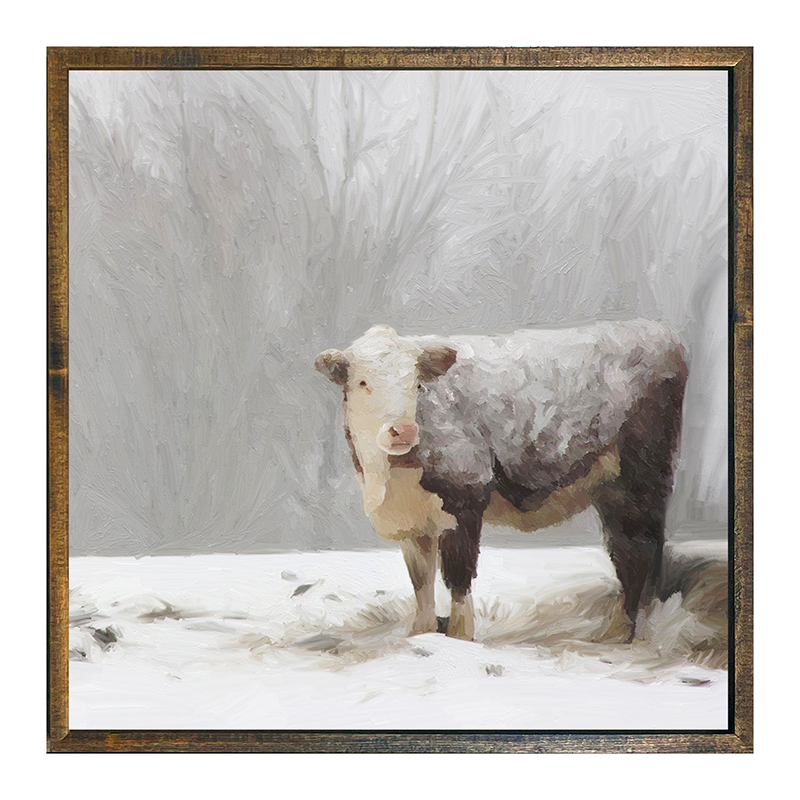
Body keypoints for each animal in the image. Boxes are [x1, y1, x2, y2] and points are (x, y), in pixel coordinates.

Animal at [315, 319, 687, 642]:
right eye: (363, 383)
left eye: (416, 383)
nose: (403, 430)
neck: (390, 480)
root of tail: (654, 329)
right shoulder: (413, 523)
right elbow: (421, 582)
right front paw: (421, 634)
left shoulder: (465, 498)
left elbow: (458, 578)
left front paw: (460, 639)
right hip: (615, 487)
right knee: (639, 548)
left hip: (640, 474)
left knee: (637, 549)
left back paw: (618, 634)